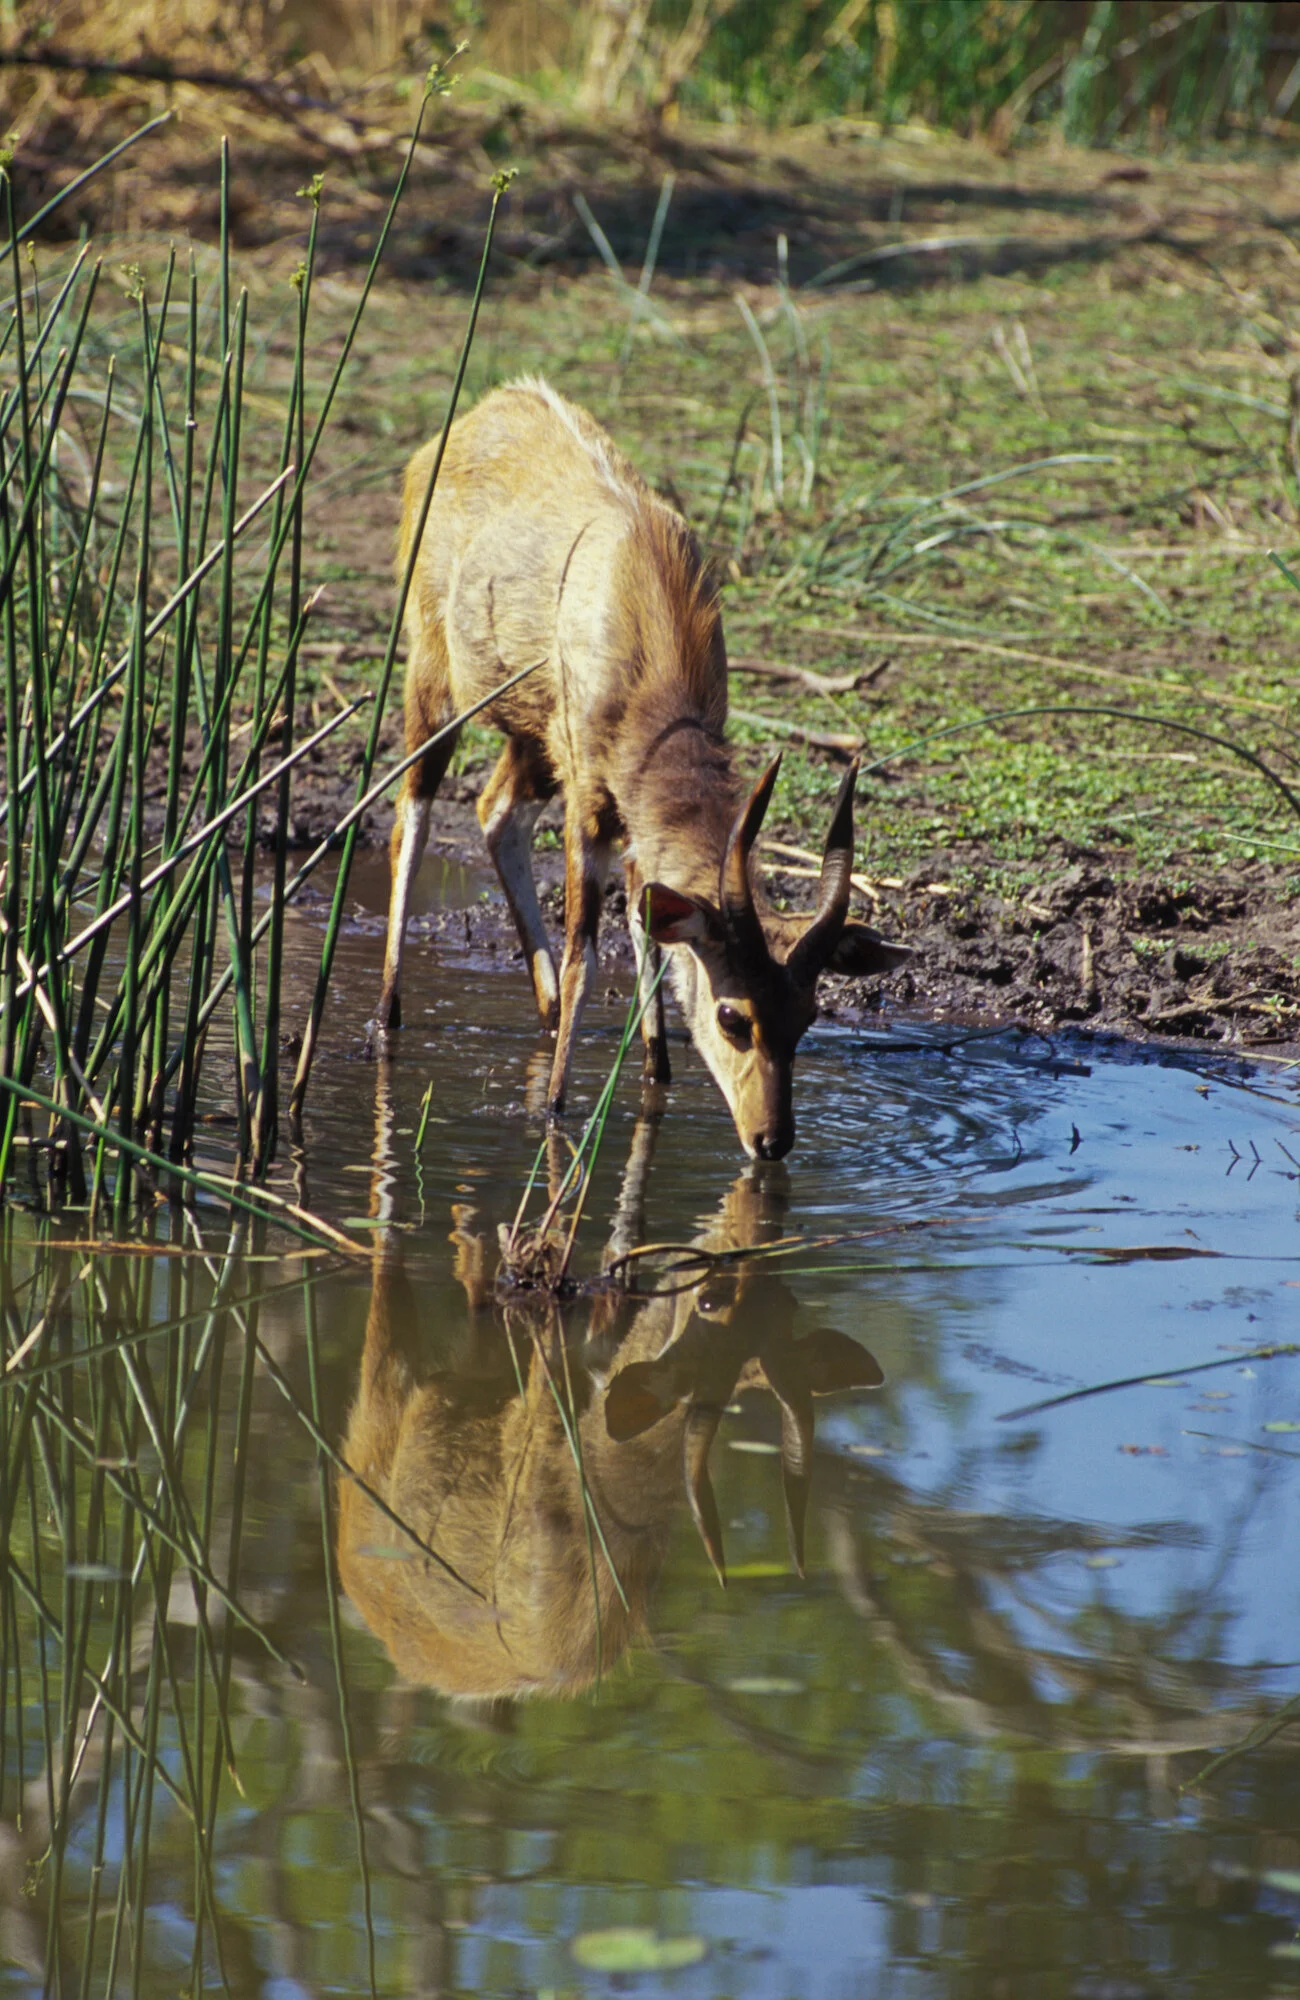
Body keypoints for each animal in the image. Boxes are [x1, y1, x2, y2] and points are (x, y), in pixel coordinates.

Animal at [374, 377, 908, 1160]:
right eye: (733, 1016)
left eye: (806, 1017)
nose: (771, 1141)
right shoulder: (589, 801)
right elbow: (587, 954)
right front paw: (556, 1107)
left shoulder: (618, 806)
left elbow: (645, 927)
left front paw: (655, 1072)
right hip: (433, 673)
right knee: (410, 815)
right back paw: (387, 1017)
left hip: (532, 740)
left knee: (494, 812)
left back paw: (543, 1012)